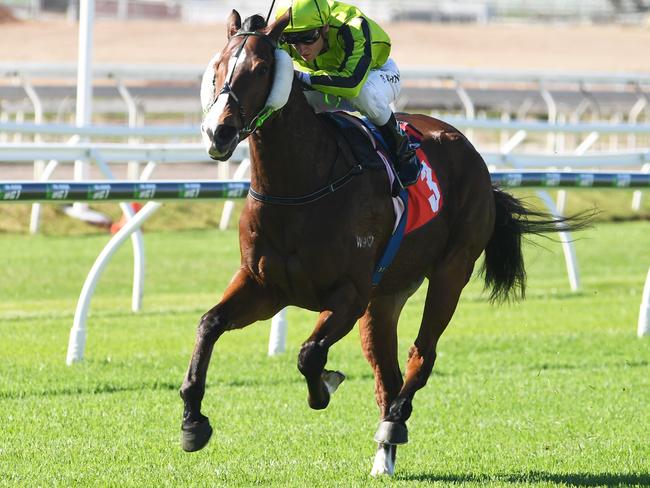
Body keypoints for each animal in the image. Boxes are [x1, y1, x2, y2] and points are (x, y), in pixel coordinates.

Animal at [177, 10, 588, 476]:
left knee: (421, 357)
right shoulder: (265, 287)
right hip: (386, 296)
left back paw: (393, 423)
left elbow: (309, 355)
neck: (301, 185)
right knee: (387, 376)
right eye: (217, 67)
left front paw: (327, 385)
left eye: (262, 68)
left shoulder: (350, 295)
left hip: (451, 272)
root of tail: (468, 149)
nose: (219, 132)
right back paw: (383, 457)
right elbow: (208, 324)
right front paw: (192, 422)